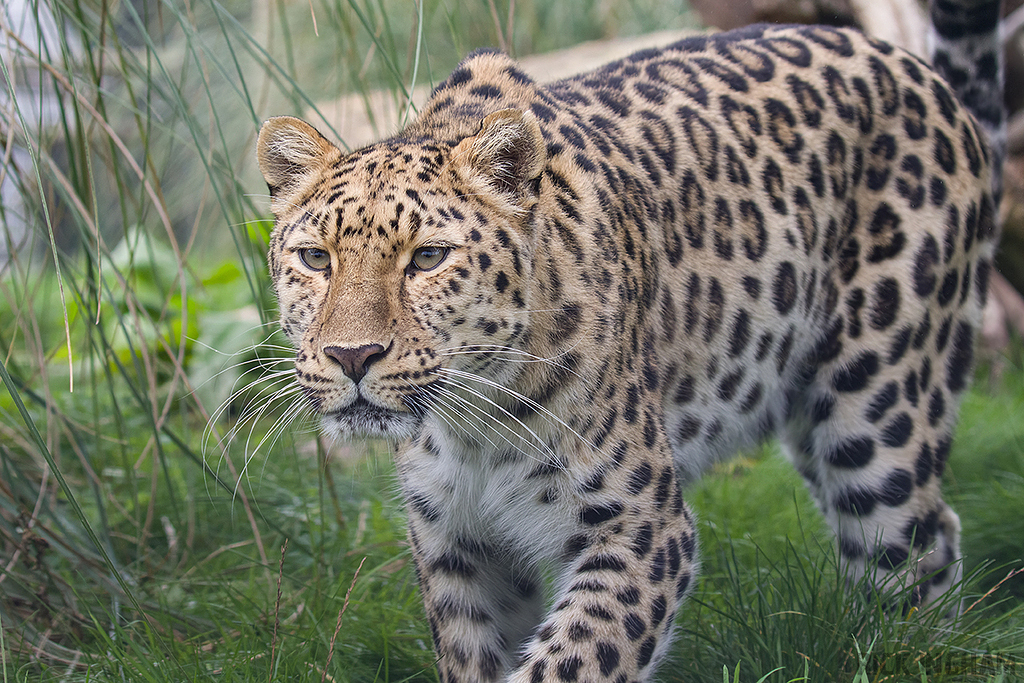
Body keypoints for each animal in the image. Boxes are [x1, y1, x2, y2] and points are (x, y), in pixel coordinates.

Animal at [255, 0, 1003, 679]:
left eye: (429, 258)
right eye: (316, 259)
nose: (352, 357)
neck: (474, 422)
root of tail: (918, 71)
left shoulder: (642, 531)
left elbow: (571, 661)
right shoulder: (459, 547)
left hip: (877, 412)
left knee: (915, 551)